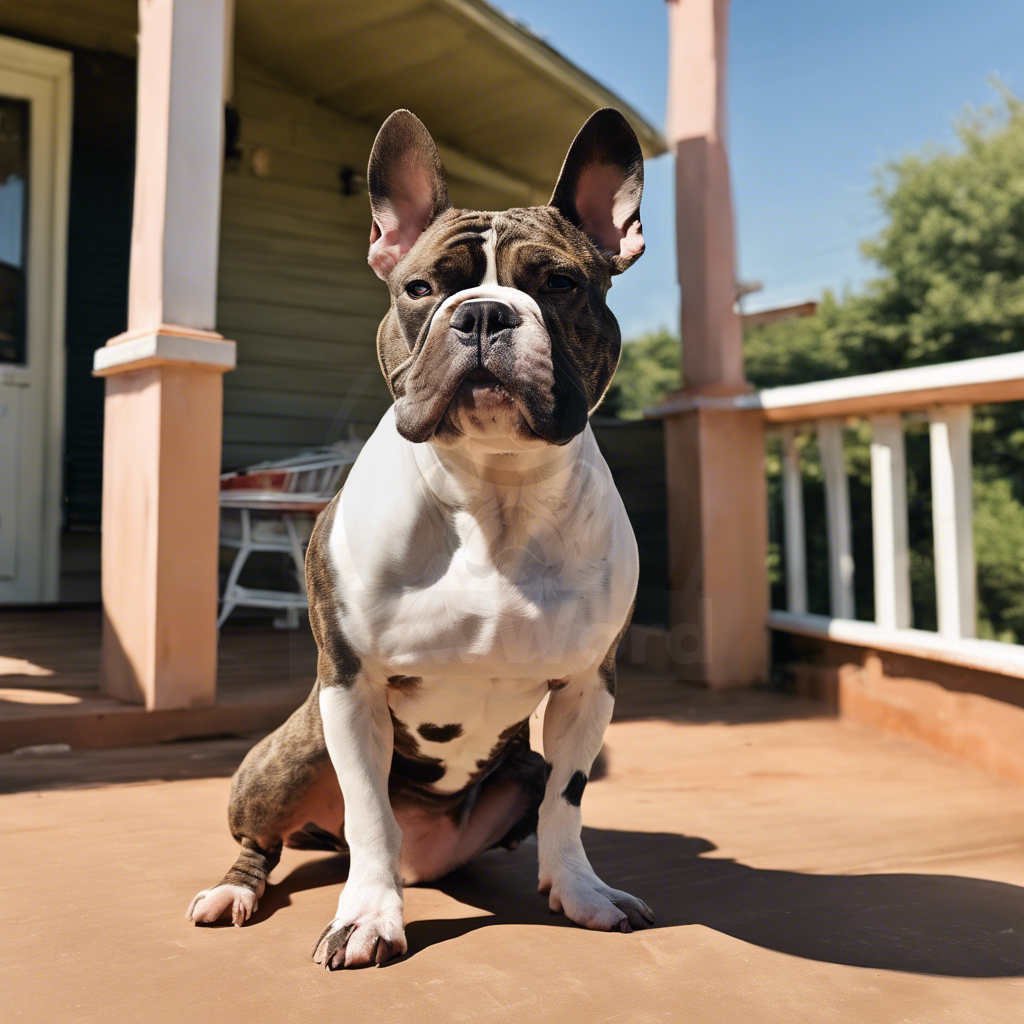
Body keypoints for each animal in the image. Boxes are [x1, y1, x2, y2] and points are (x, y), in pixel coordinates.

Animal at [187, 105, 651, 966]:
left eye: (561, 284)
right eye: (421, 288)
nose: (483, 312)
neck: (493, 495)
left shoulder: (586, 689)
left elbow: (568, 808)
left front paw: (581, 893)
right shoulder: (352, 685)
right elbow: (372, 815)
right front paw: (369, 916)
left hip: (520, 767)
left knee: (529, 805)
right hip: (292, 753)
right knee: (266, 842)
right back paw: (238, 890)